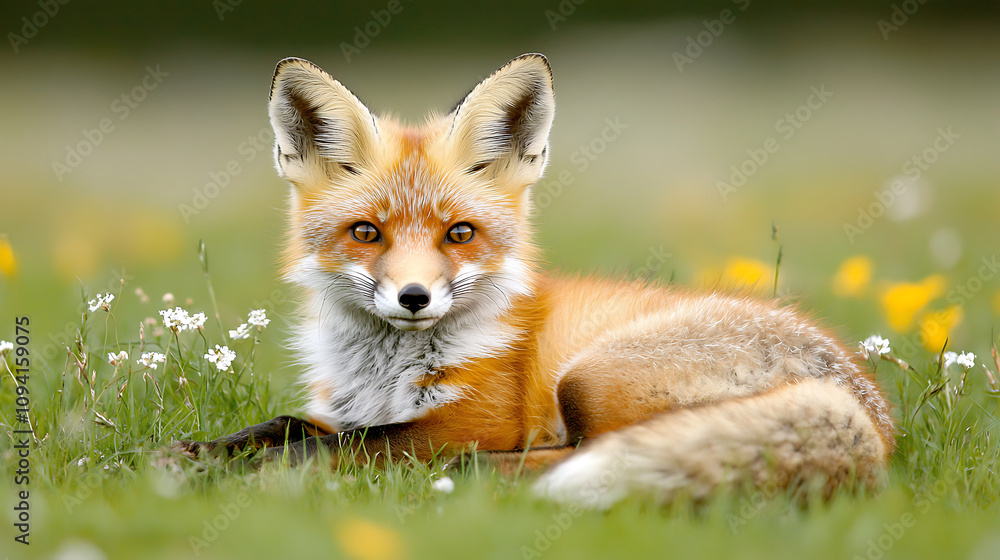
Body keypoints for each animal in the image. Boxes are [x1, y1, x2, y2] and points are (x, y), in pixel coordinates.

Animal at [176, 53, 895, 508]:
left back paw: (464, 478)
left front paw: (246, 474)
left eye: (459, 234)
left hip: (590, 377)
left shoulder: (469, 420)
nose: (414, 297)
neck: (385, 372)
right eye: (366, 232)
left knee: (567, 456)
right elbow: (283, 426)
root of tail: (874, 419)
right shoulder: (343, 410)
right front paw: (190, 454)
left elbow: (333, 448)